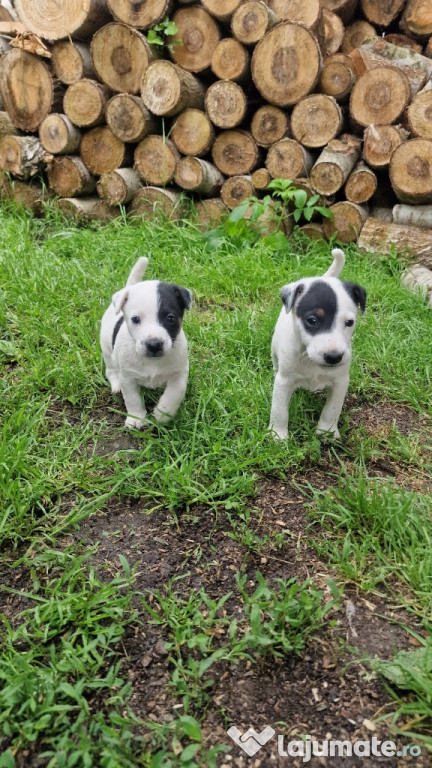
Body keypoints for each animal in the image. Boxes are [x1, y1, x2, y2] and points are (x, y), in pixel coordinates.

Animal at [100, 256, 192, 426]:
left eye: (170, 318)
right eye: (136, 319)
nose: (154, 345)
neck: (152, 361)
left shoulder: (180, 373)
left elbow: (175, 393)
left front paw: (163, 413)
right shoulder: (128, 377)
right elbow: (132, 399)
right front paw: (136, 418)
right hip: (106, 348)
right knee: (111, 368)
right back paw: (116, 384)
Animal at [270, 249, 364, 440]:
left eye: (349, 322)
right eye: (312, 320)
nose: (334, 357)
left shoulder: (340, 381)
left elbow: (332, 410)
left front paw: (327, 432)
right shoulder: (284, 382)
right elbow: (279, 411)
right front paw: (278, 436)